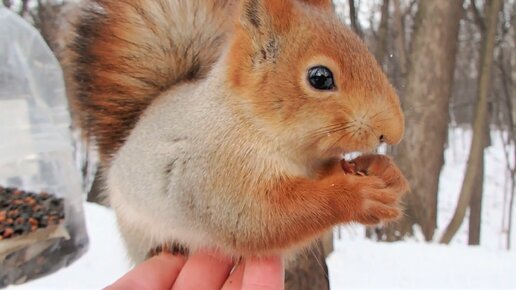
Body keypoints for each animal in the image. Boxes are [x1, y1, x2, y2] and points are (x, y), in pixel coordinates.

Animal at [68, 0, 410, 262]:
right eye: (320, 77)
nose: (392, 133)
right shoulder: (214, 172)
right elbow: (258, 219)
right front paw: (358, 196)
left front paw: (385, 170)